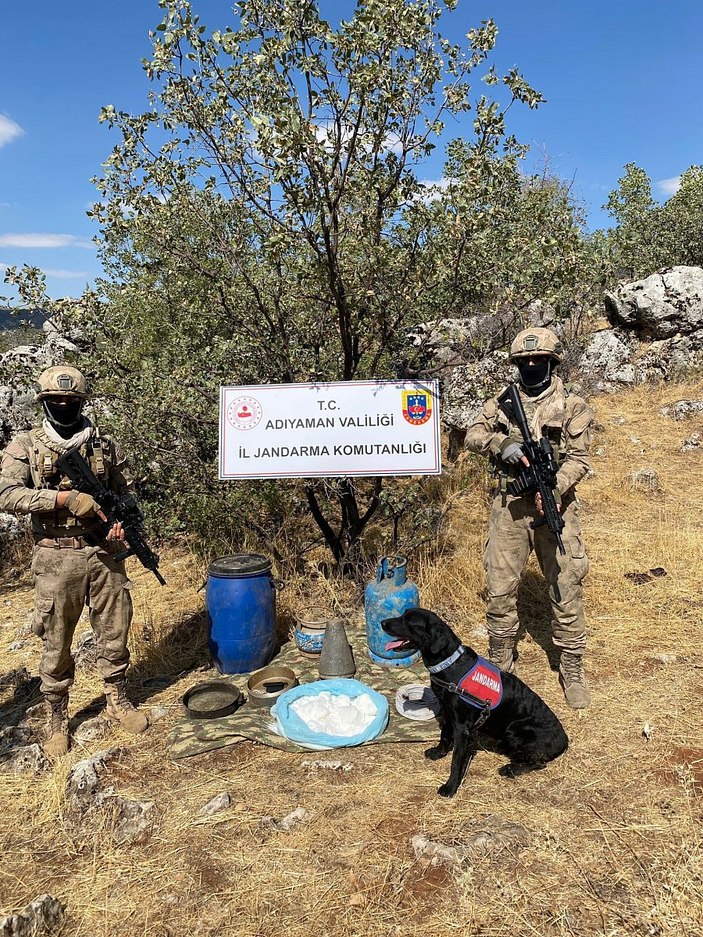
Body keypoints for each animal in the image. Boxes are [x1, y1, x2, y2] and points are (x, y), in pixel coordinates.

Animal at [382, 608, 568, 796]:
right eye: (402, 615)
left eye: (408, 621)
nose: (382, 623)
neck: (449, 664)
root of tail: (564, 741)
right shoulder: (448, 713)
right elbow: (444, 735)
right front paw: (439, 752)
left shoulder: (461, 728)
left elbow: (456, 760)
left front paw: (450, 787)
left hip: (514, 732)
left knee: (539, 763)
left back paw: (510, 769)